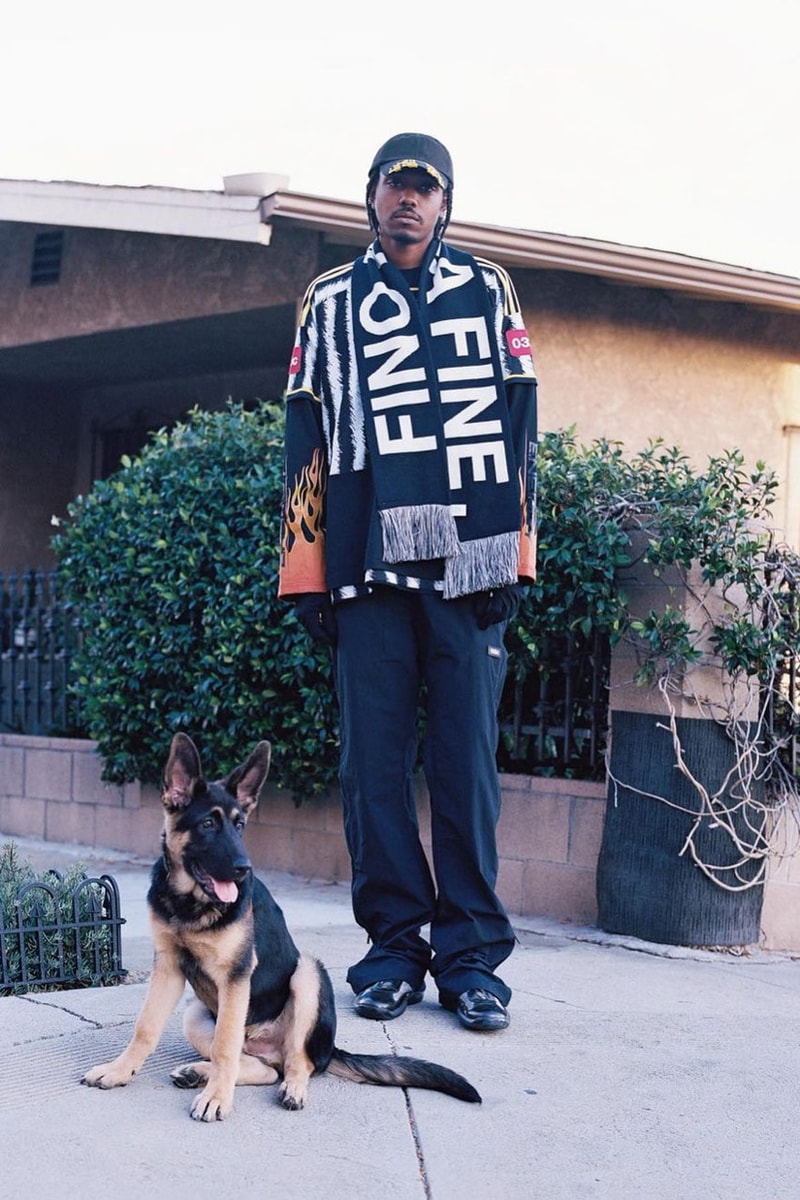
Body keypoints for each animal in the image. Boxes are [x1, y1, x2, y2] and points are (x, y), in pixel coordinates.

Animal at [82, 729, 482, 1123]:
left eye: (240, 825)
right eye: (208, 824)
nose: (243, 868)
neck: (190, 902)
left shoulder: (236, 974)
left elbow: (225, 1046)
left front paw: (216, 1099)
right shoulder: (167, 966)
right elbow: (145, 1027)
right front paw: (119, 1070)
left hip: (307, 974)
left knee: (294, 1061)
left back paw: (288, 1087)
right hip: (196, 1014)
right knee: (259, 1066)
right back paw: (198, 1072)